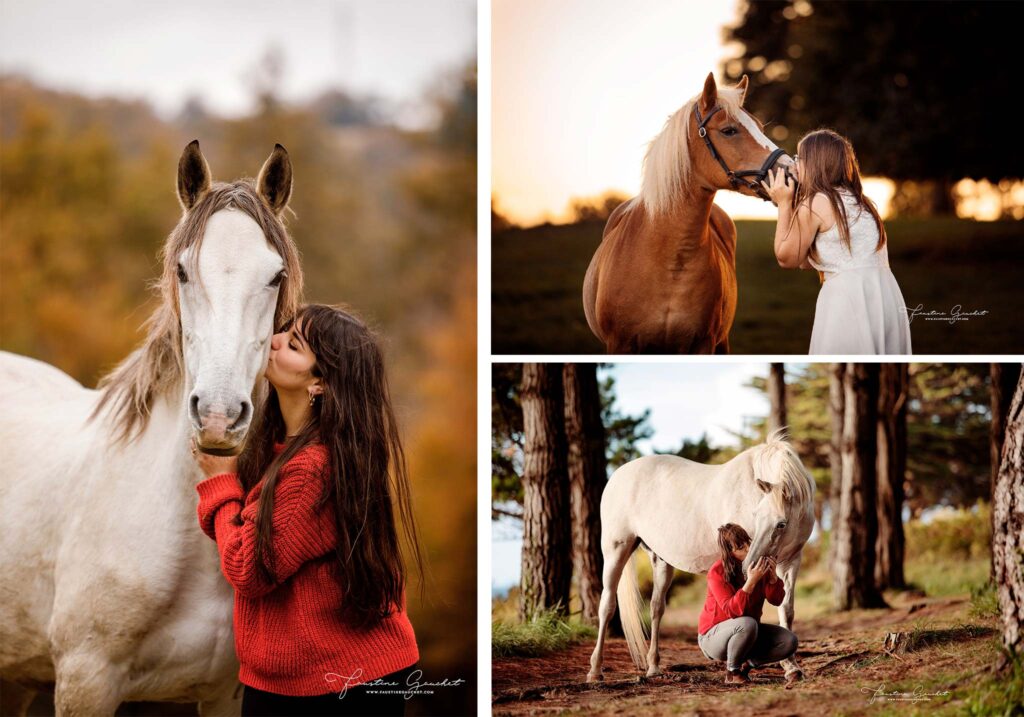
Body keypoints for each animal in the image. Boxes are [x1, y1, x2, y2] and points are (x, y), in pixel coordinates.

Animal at [582, 73, 794, 354]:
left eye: (759, 127)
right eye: (729, 130)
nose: (793, 171)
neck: (671, 263)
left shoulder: (702, 344)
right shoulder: (621, 345)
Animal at [586, 431, 815, 685]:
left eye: (781, 524)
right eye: (756, 515)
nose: (749, 564)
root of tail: (618, 474)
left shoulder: (790, 561)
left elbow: (786, 610)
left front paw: (792, 667)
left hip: (660, 560)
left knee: (656, 608)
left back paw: (653, 667)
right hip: (616, 550)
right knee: (607, 606)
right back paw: (595, 670)